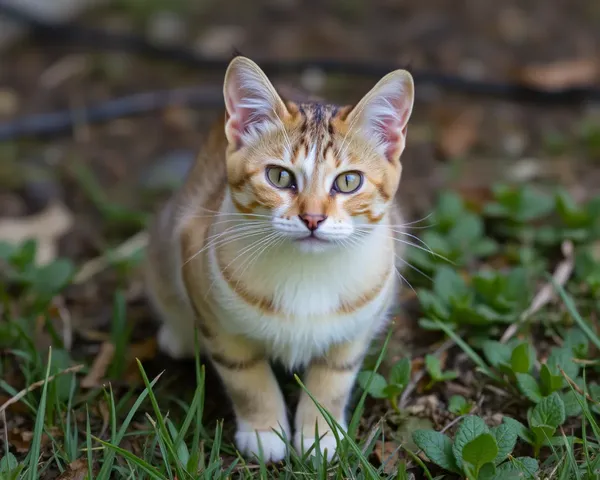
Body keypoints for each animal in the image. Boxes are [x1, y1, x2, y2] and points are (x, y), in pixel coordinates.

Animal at [145, 55, 412, 462]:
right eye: (279, 177)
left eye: (349, 181)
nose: (313, 218)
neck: (308, 272)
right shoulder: (207, 292)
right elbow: (246, 376)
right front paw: (263, 431)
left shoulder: (358, 326)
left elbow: (333, 377)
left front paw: (319, 433)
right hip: (166, 235)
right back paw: (177, 333)